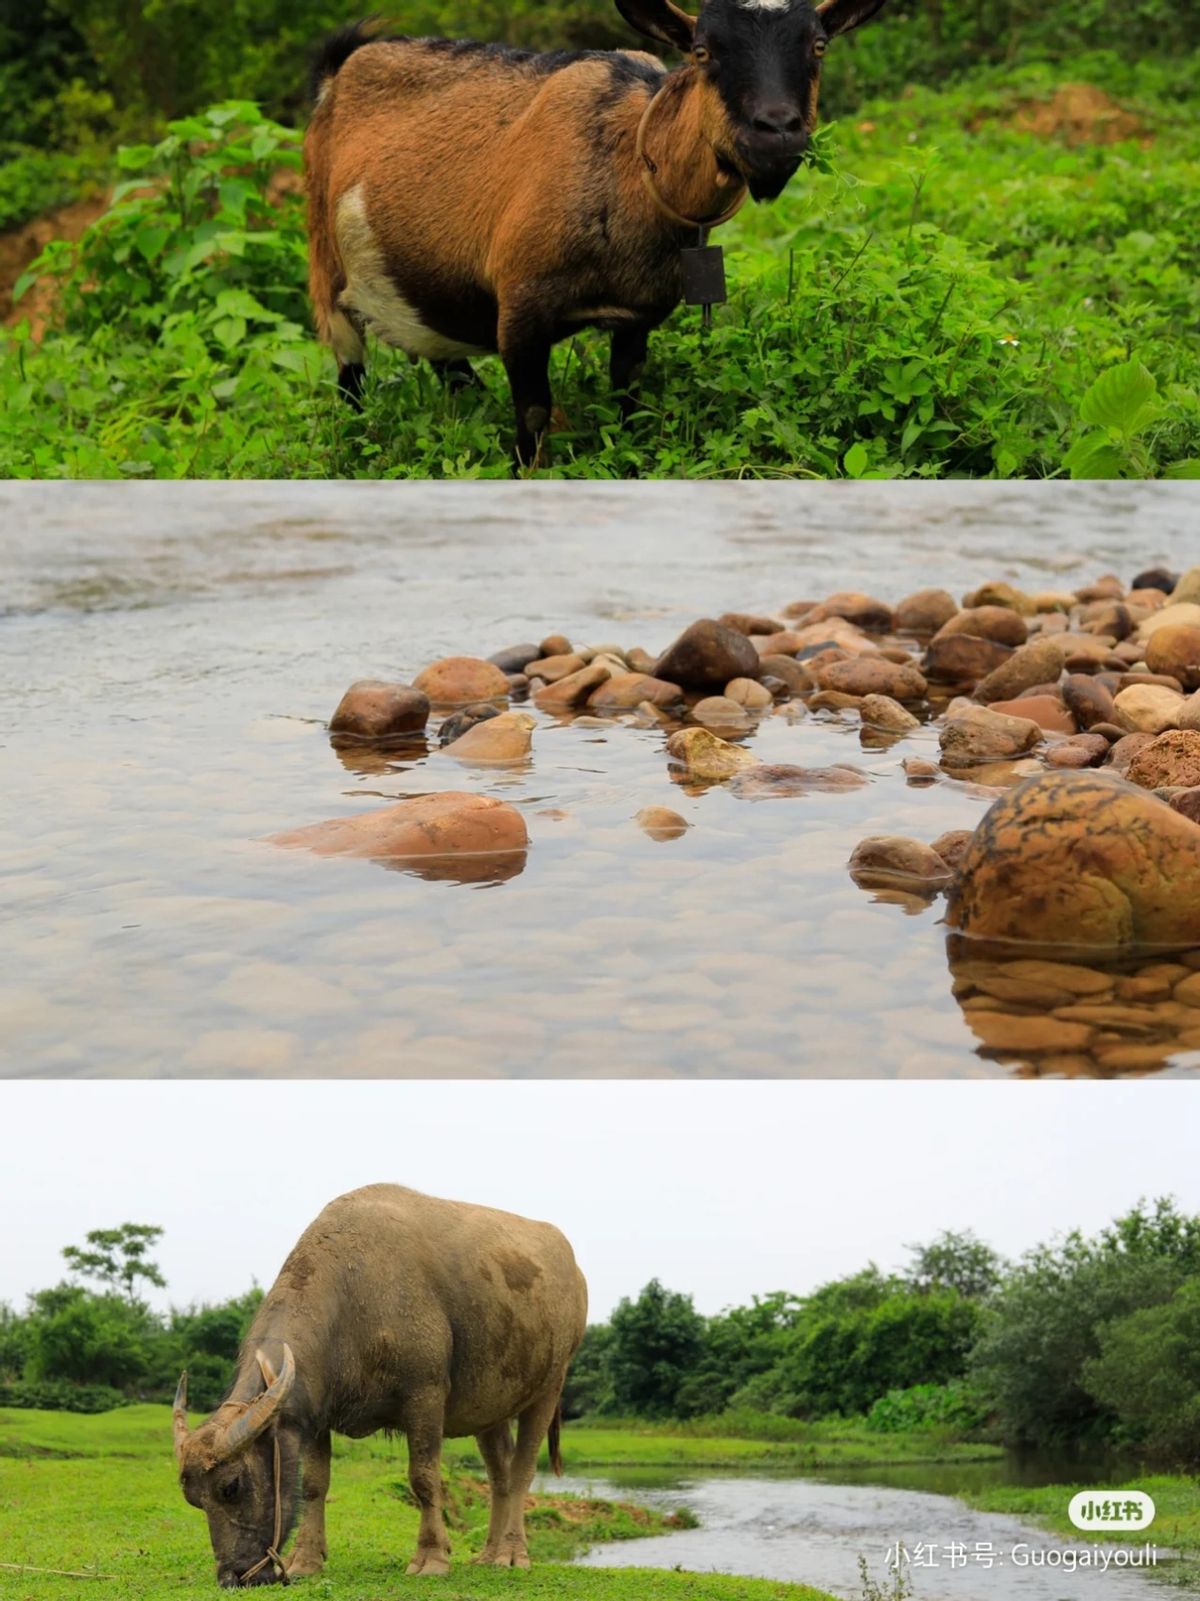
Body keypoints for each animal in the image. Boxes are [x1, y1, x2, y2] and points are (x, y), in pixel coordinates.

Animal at [175, 1184, 592, 1581]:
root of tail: (575, 1272)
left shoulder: (425, 1396)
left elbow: (424, 1478)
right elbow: (313, 1483)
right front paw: (306, 1559)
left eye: (231, 1487)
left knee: (522, 1471)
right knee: (499, 1474)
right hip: (491, 1408)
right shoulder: (317, 1412)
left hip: (549, 1387)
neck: (353, 1298)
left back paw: (512, 1553)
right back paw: (489, 1554)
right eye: (194, 1499)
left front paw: (432, 1557)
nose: (234, 1575)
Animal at [307, 0, 896, 467]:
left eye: (818, 45)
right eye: (702, 51)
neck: (630, 160)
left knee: (445, 357)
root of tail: (343, 67)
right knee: (351, 373)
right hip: (325, 266)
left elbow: (628, 403)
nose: (776, 130)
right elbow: (534, 418)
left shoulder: (638, 317)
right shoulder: (519, 310)